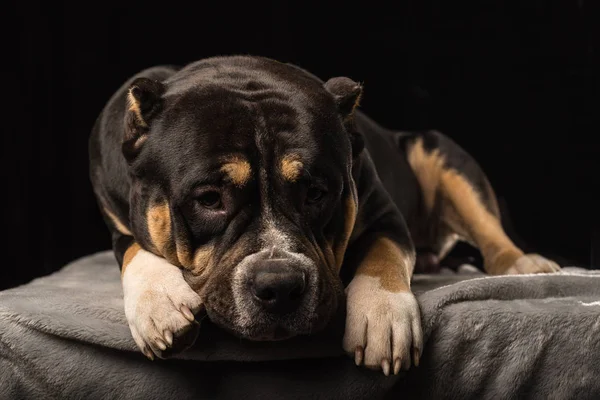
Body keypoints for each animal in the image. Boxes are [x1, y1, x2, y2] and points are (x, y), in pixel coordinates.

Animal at [86, 54, 560, 376]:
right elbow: (134, 249)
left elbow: (384, 254)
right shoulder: (116, 216)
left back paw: (524, 262)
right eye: (209, 200)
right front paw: (158, 301)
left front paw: (384, 313)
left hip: (442, 151)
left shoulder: (383, 214)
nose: (279, 286)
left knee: (490, 230)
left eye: (316, 193)